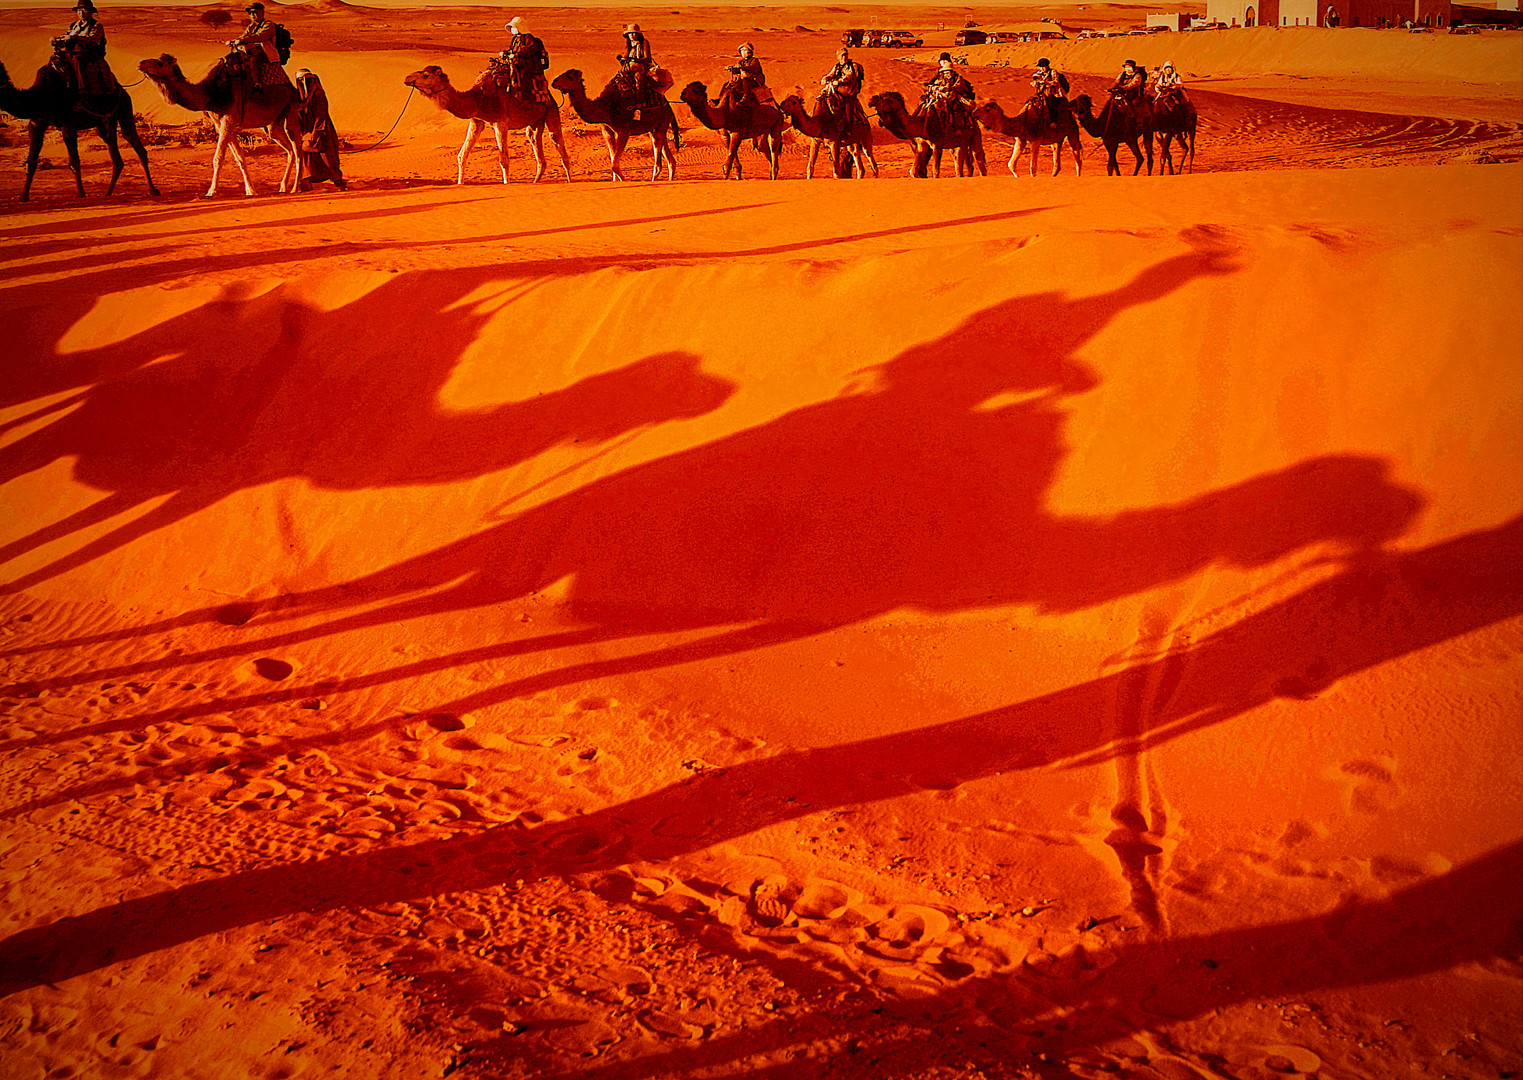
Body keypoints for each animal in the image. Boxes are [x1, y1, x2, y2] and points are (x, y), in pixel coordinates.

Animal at [0, 58, 158, 202]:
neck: (39, 96)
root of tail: (122, 89)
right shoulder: (36, 124)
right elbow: (31, 160)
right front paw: (23, 196)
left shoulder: (68, 124)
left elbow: (74, 161)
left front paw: (80, 193)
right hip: (105, 122)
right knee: (115, 154)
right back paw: (108, 193)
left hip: (124, 110)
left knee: (135, 143)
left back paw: (153, 190)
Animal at [138, 54, 300, 197]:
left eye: (160, 63)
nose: (141, 63)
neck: (212, 94)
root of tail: (292, 87)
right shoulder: (222, 124)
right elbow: (240, 158)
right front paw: (251, 191)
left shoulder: (228, 119)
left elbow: (218, 158)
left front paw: (211, 192)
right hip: (272, 124)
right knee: (289, 150)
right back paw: (283, 187)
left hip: (291, 108)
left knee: (297, 149)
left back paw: (296, 188)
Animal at [403, 65, 572, 184]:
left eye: (425, 75)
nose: (407, 78)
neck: (478, 99)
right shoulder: (476, 121)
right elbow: (462, 155)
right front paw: (460, 184)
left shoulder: (501, 122)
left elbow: (504, 160)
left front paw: (506, 184)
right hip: (535, 122)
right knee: (535, 142)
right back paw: (535, 181)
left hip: (551, 110)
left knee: (558, 144)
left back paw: (570, 180)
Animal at [550, 68, 679, 182]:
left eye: (570, 77)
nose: (554, 82)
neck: (605, 107)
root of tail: (669, 108)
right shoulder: (607, 130)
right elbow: (613, 161)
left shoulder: (624, 130)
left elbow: (614, 166)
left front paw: (625, 181)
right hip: (655, 128)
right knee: (670, 160)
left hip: (661, 124)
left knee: (658, 163)